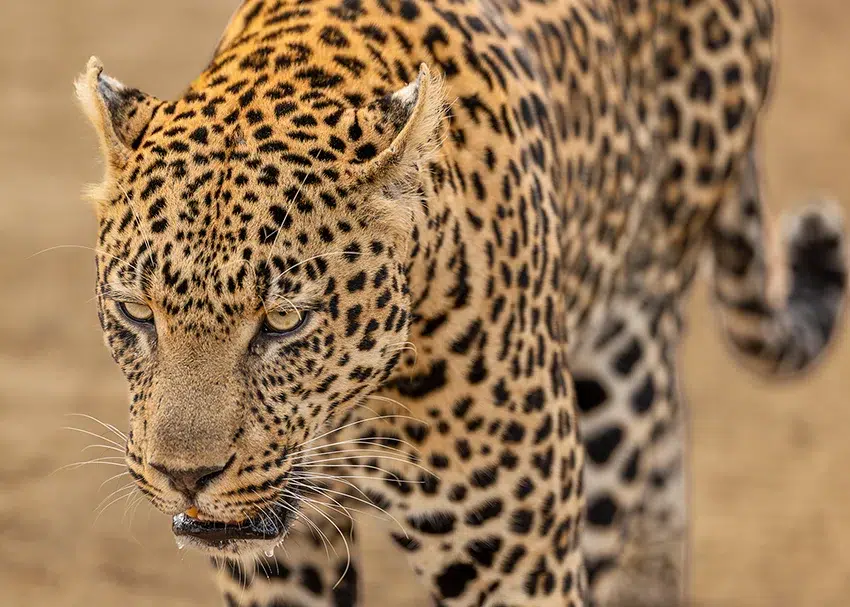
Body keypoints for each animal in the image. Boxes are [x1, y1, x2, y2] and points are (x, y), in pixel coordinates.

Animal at [75, 0, 847, 605]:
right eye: (137, 312)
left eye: (284, 321)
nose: (184, 478)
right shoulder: (278, 564)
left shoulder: (519, 565)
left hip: (625, 354)